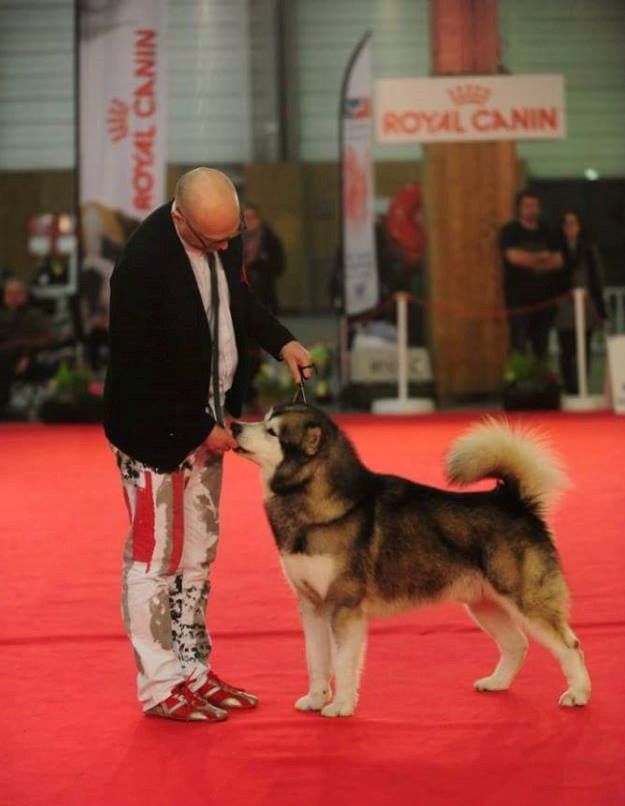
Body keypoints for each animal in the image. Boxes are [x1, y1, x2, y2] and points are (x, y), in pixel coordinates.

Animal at [230, 404, 588, 720]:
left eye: (272, 431)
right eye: (263, 420)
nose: (233, 425)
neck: (319, 504)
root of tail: (513, 501)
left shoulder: (344, 606)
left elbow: (342, 663)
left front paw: (341, 706)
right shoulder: (312, 605)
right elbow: (316, 659)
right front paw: (315, 699)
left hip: (525, 599)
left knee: (569, 645)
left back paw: (578, 694)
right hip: (484, 604)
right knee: (518, 644)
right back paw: (497, 682)